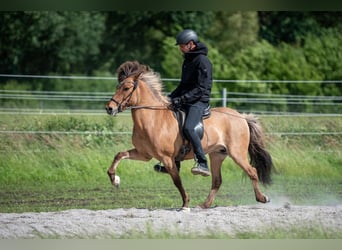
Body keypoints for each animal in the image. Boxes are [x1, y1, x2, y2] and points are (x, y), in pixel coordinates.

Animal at [105, 60, 274, 209]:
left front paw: (185, 204)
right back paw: (204, 205)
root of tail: (242, 117)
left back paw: (262, 198)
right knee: (217, 181)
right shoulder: (144, 154)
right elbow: (119, 155)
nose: (109, 108)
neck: (153, 119)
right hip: (217, 155)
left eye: (126, 88)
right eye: (117, 86)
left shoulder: (167, 158)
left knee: (252, 172)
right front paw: (115, 180)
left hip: (237, 153)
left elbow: (177, 181)